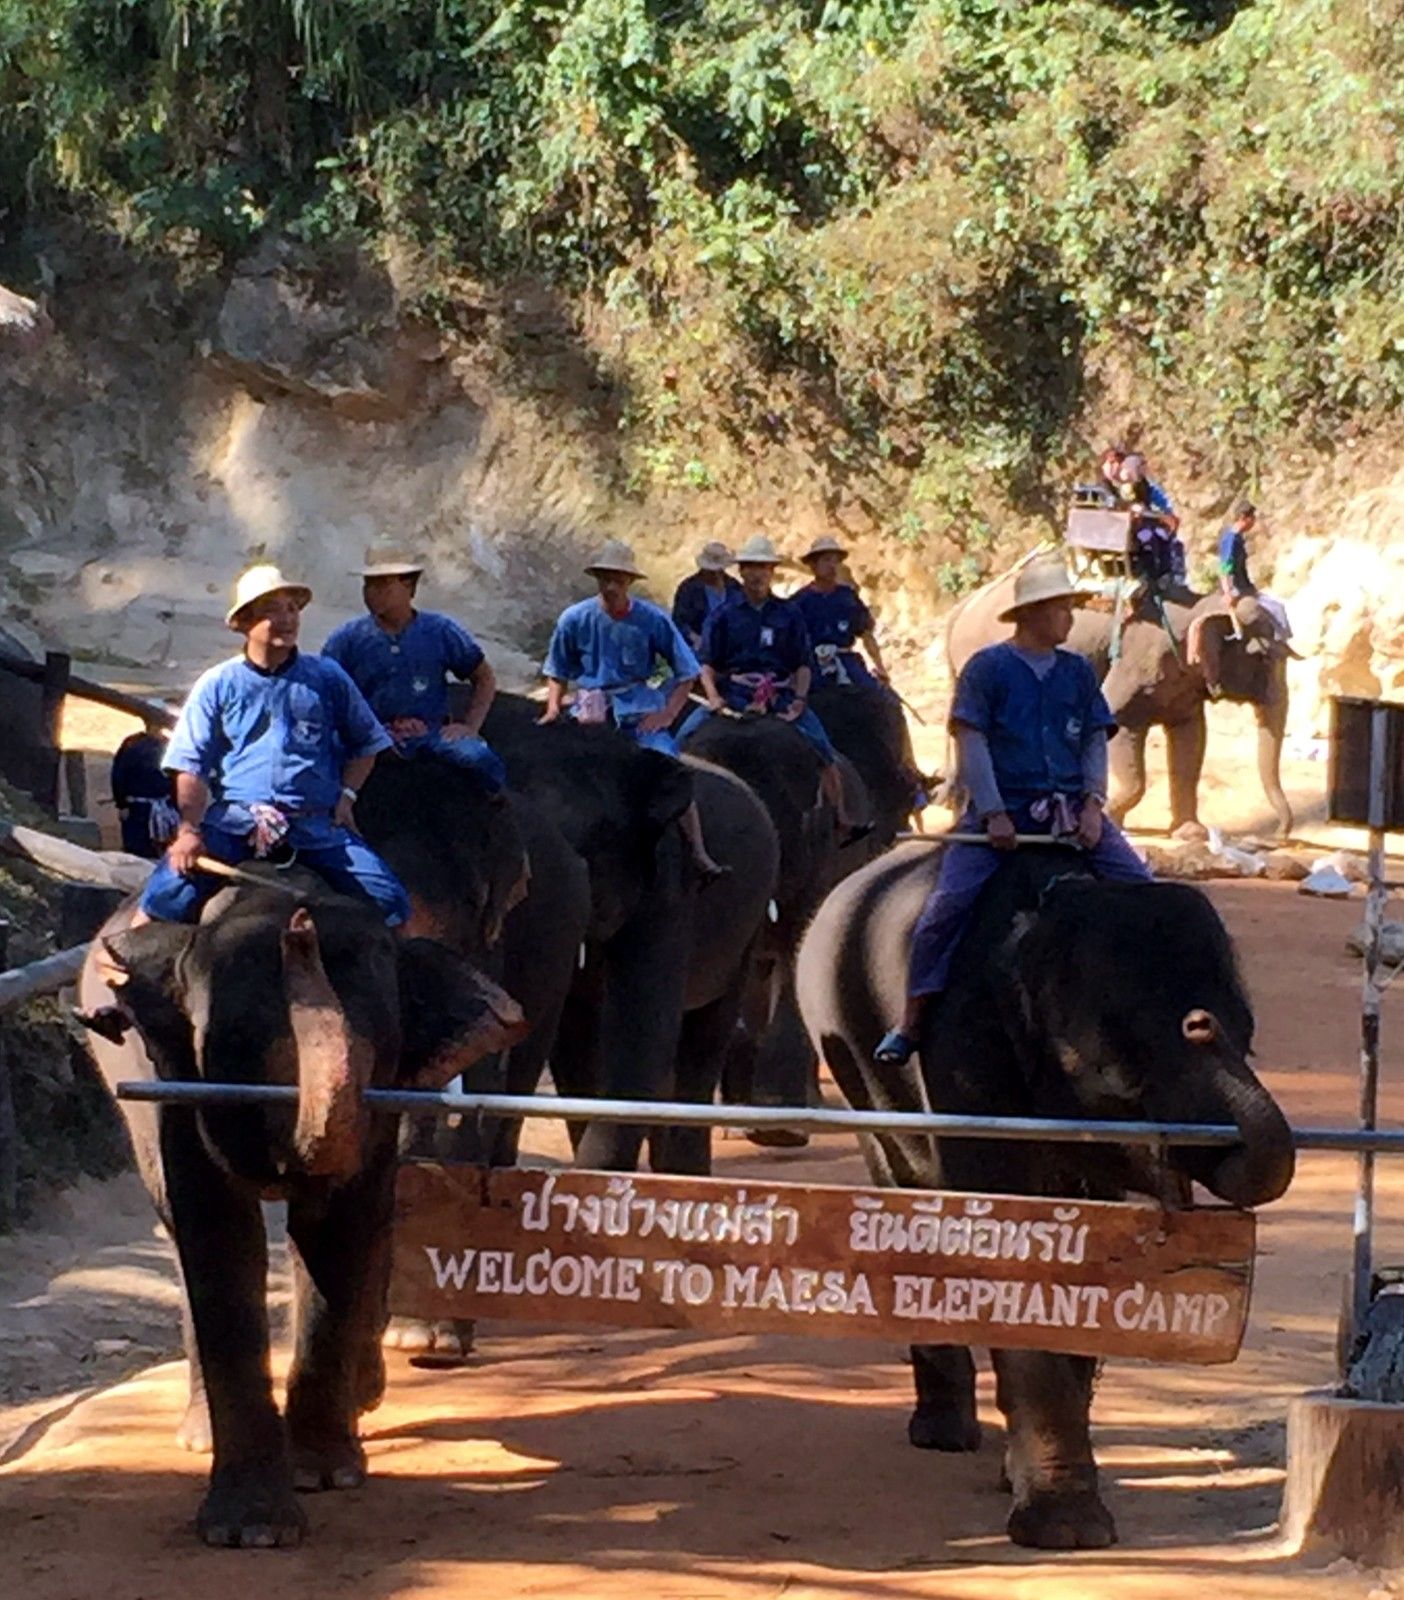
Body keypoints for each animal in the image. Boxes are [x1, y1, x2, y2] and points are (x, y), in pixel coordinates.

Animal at [82, 883, 534, 1542]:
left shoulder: (379, 1104)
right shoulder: (173, 1078)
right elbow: (218, 1231)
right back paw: (200, 1436)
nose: (299, 928)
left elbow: (337, 1230)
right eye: (230, 1044)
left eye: (382, 1052)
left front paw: (323, 1476)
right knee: (171, 1221)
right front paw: (251, 1532)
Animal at [796, 844, 1304, 1555]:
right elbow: (1010, 1227)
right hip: (852, 1063)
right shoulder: (962, 1053)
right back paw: (943, 1435)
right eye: (1121, 1067)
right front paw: (1064, 1532)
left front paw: (1033, 1491)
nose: (1201, 1024)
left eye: (1249, 1033)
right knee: (903, 1185)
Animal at [946, 566, 1298, 838]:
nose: (1279, 834)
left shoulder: (1184, 685)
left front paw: (1190, 833)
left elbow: (1192, 739)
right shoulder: (1133, 665)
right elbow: (1119, 726)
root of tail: (962, 608)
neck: (1201, 605)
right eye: (1263, 658)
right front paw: (1110, 818)